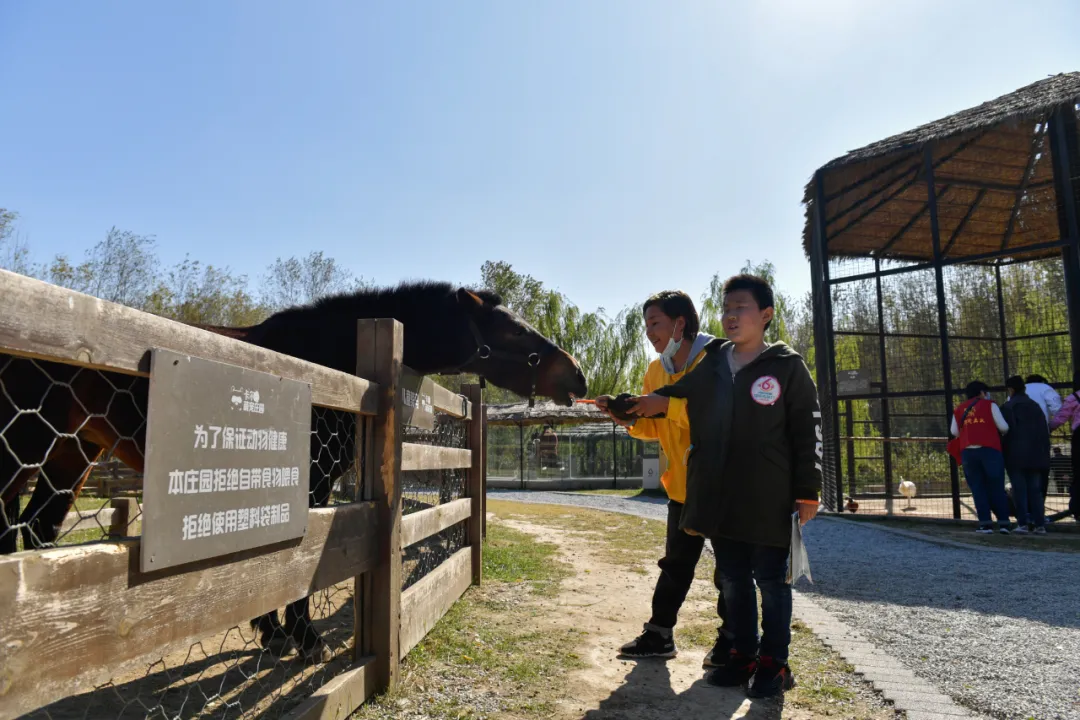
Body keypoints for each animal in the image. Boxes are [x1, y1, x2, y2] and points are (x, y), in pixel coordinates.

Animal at [2, 278, 591, 660]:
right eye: (513, 333)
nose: (578, 376)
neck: (330, 357)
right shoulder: (307, 480)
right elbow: (295, 561)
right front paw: (299, 637)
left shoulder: (318, 481)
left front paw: (276, 631)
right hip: (25, 448)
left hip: (71, 455)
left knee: (35, 529)